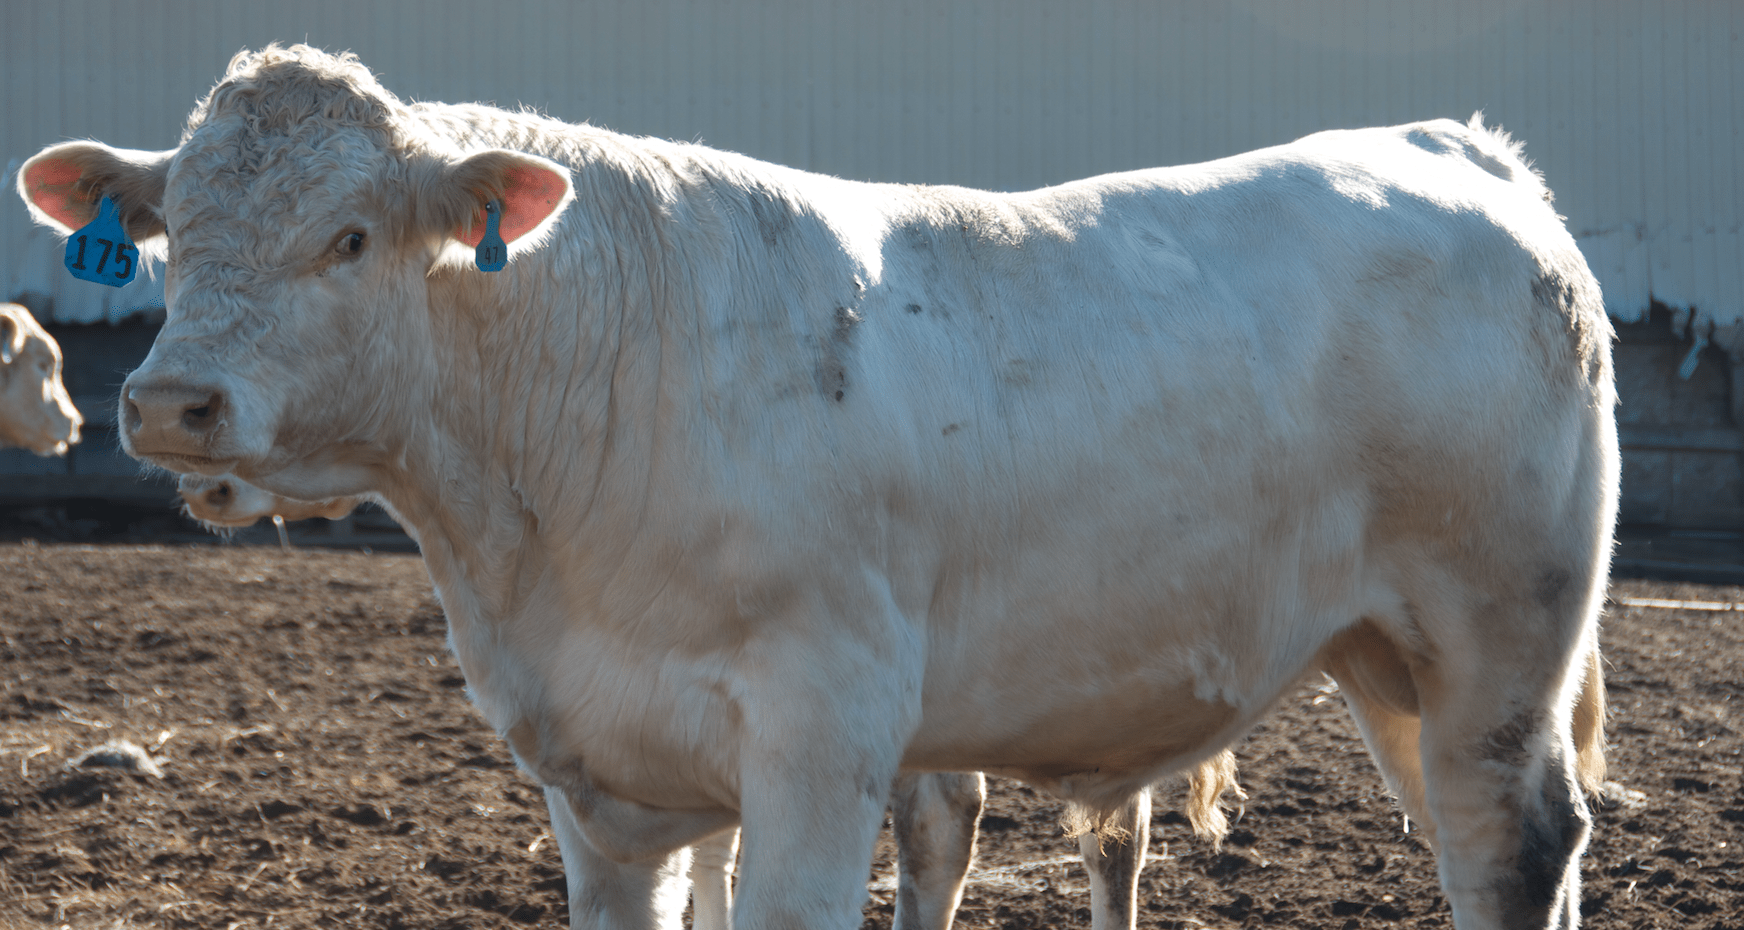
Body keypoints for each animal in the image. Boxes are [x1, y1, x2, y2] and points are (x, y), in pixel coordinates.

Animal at [20, 44, 1614, 930]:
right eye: (165, 232)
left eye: (348, 237)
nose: (168, 402)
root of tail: (1451, 148)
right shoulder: (593, 782)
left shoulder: (821, 733)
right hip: (1387, 650)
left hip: (1498, 632)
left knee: (1513, 844)